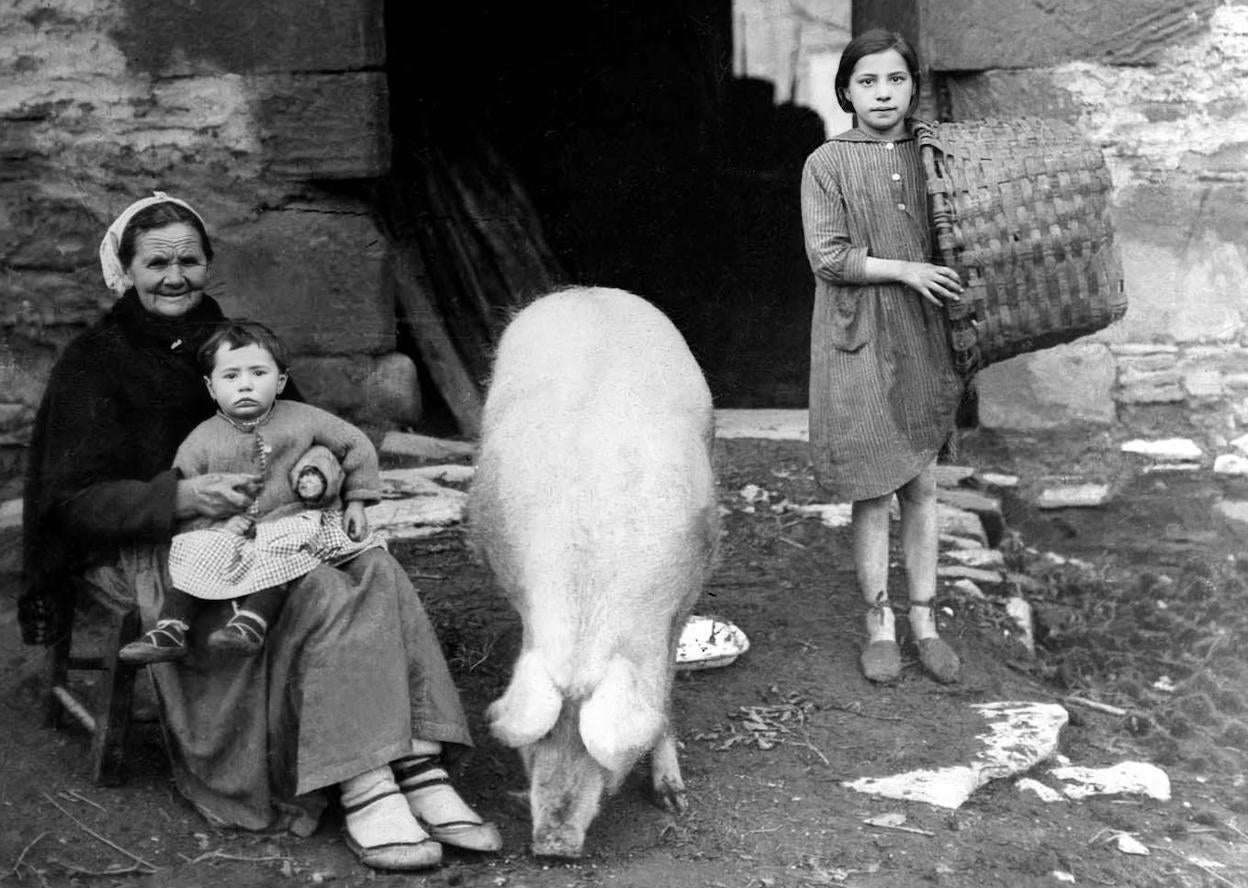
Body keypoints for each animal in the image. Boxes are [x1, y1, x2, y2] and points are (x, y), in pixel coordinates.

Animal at [469, 288, 723, 858]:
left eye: (593, 748)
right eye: (539, 740)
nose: (553, 846)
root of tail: (587, 290)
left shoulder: (687, 590)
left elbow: (663, 694)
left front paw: (674, 800)